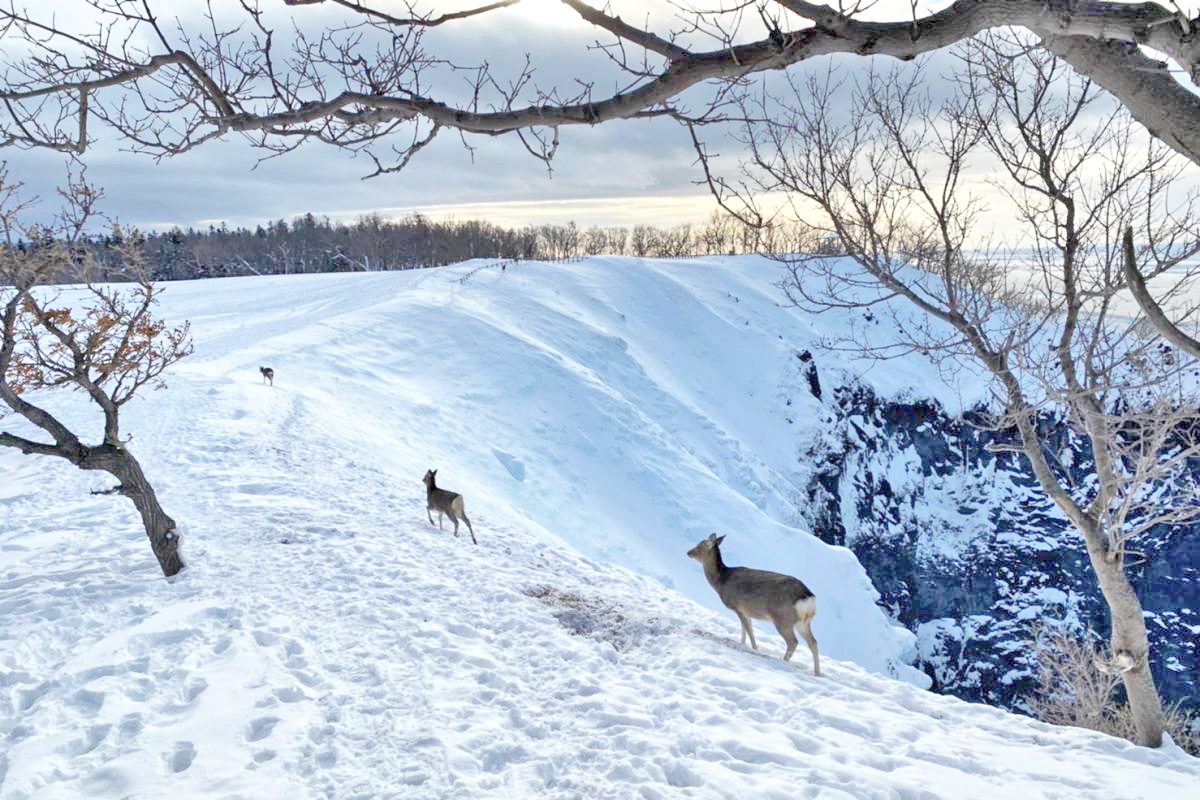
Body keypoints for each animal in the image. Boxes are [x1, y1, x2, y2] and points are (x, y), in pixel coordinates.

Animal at [691, 532, 820, 676]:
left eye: (699, 546)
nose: (688, 552)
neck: (721, 583)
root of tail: (808, 599)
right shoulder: (746, 611)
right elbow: (745, 630)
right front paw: (742, 644)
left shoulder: (738, 606)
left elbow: (748, 631)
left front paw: (754, 649)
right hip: (803, 623)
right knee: (813, 642)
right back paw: (817, 673)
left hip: (782, 619)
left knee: (793, 642)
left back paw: (783, 662)